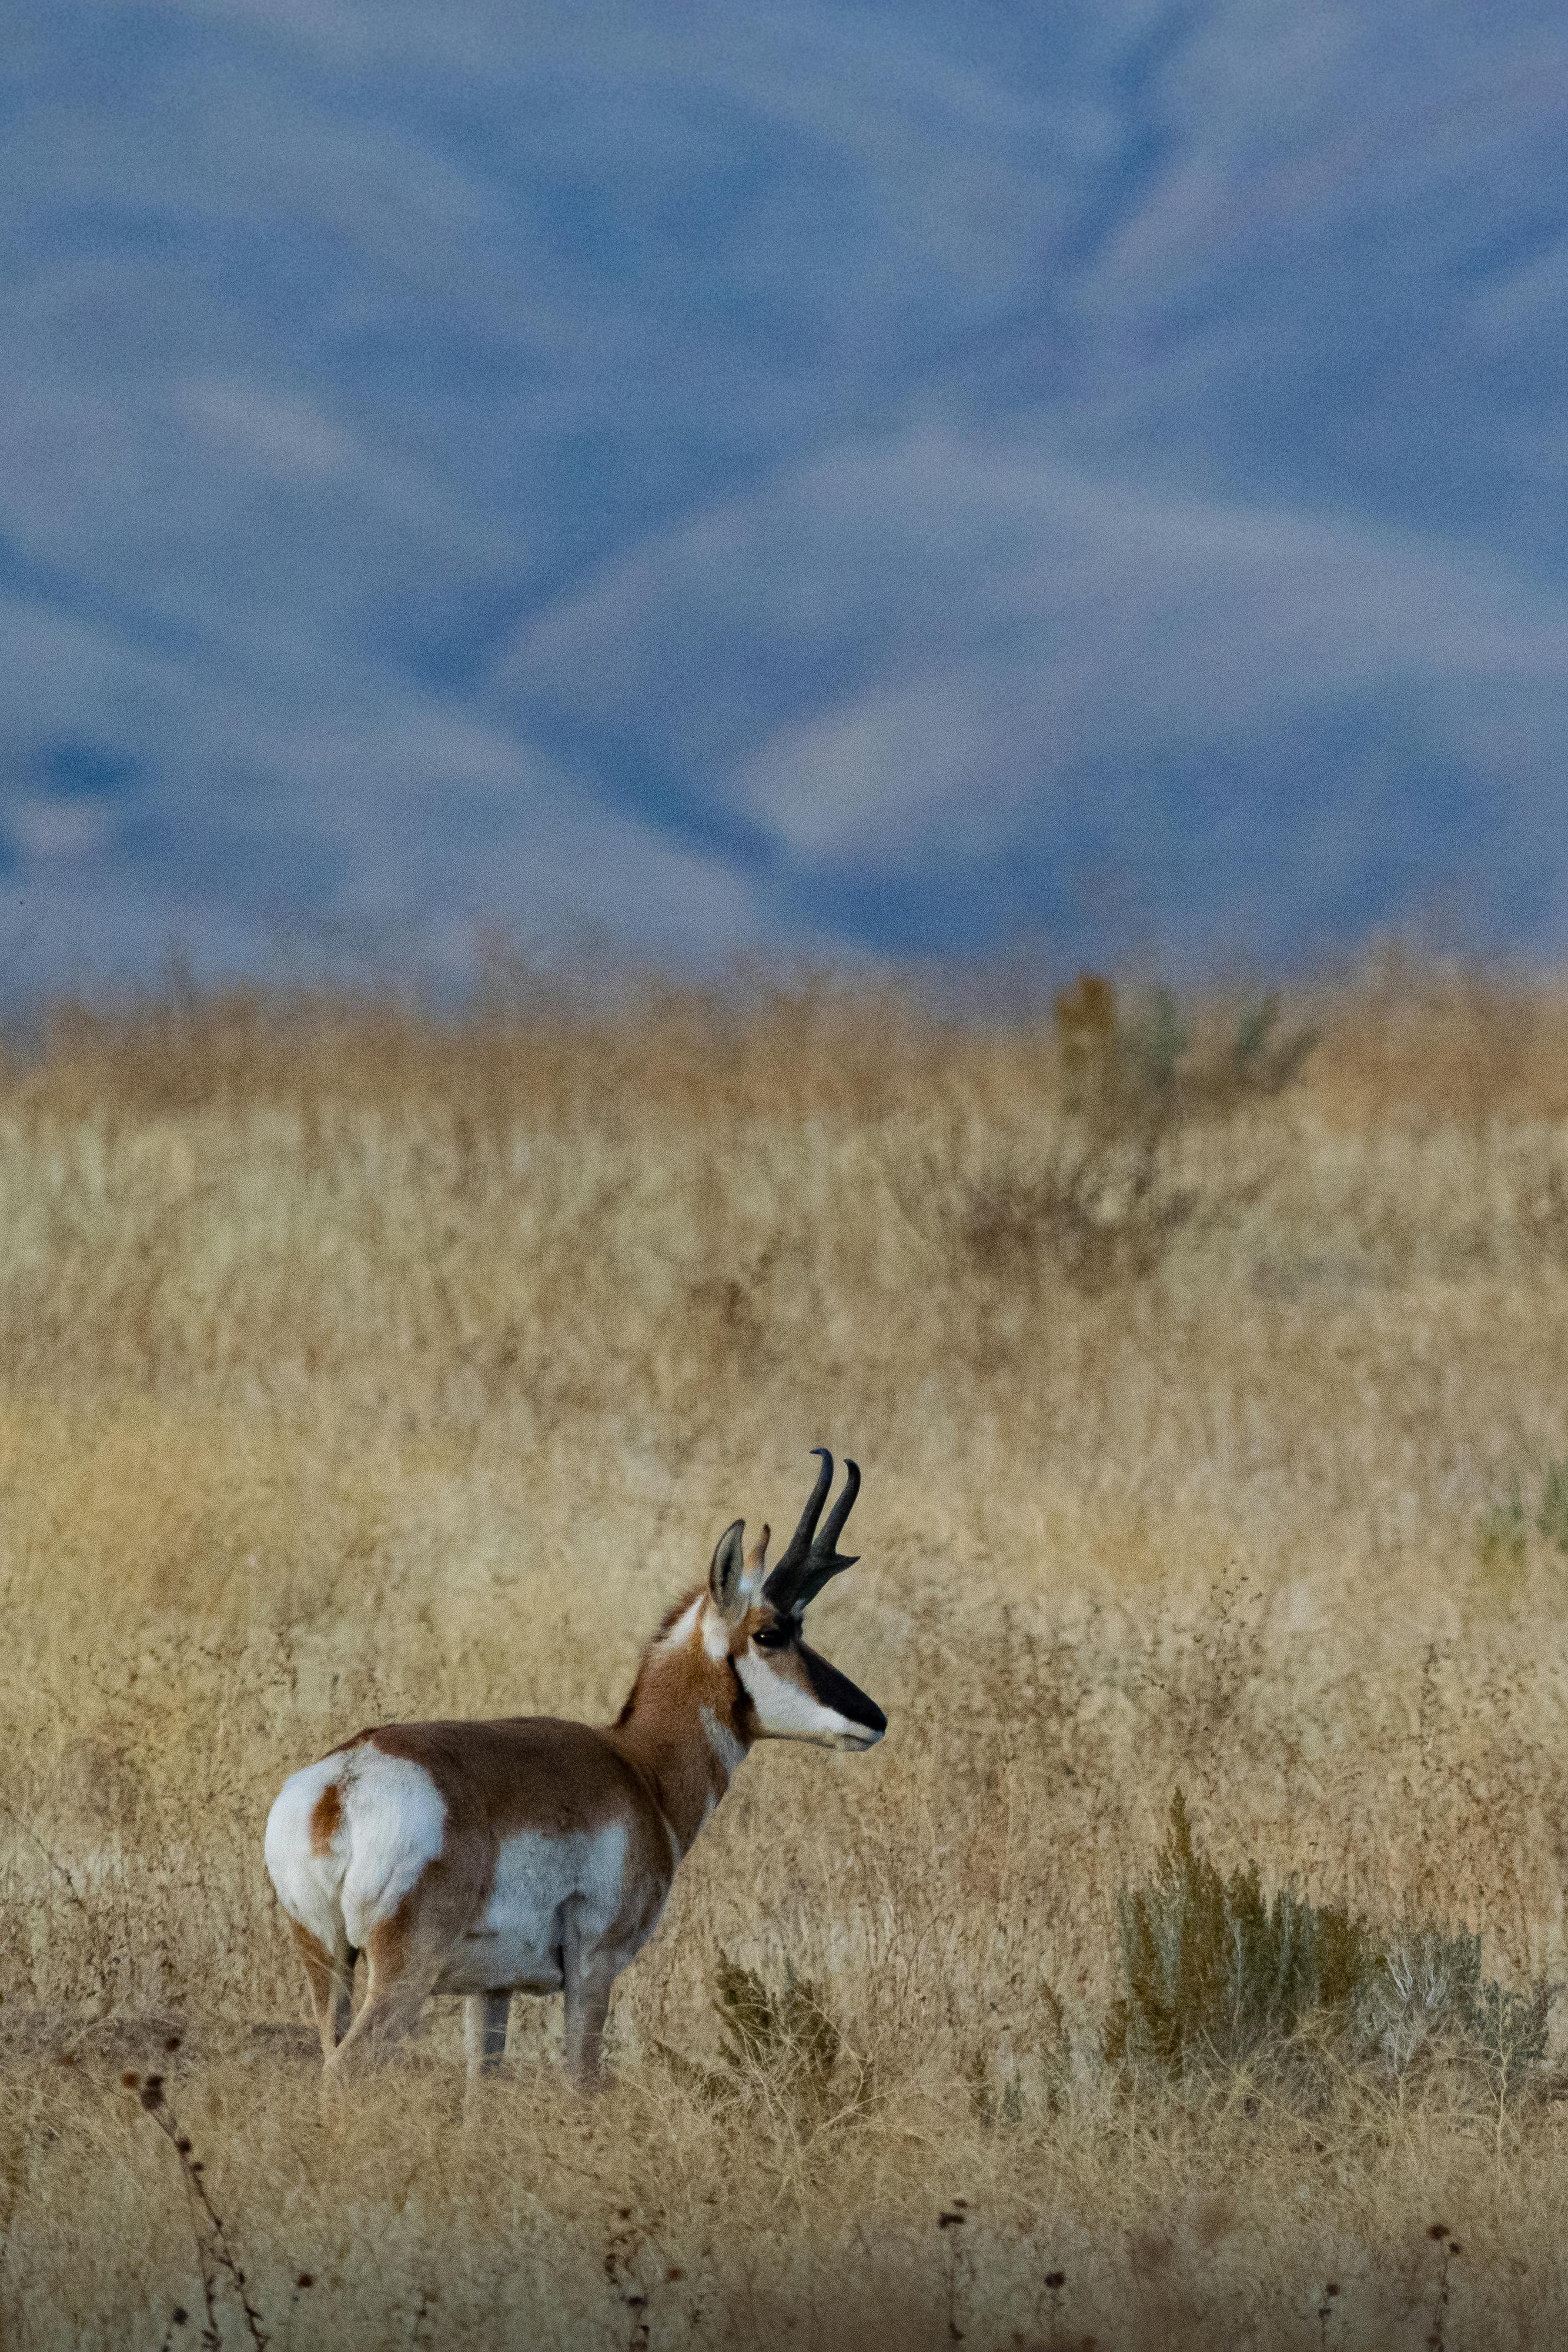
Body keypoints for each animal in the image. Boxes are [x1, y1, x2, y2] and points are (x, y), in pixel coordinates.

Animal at [264, 1450, 885, 2087]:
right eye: (770, 1632)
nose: (874, 1719)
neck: (637, 1764)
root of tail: (343, 1783)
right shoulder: (595, 1969)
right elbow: (582, 2083)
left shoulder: (491, 1991)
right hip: (401, 1977)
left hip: (328, 1963)